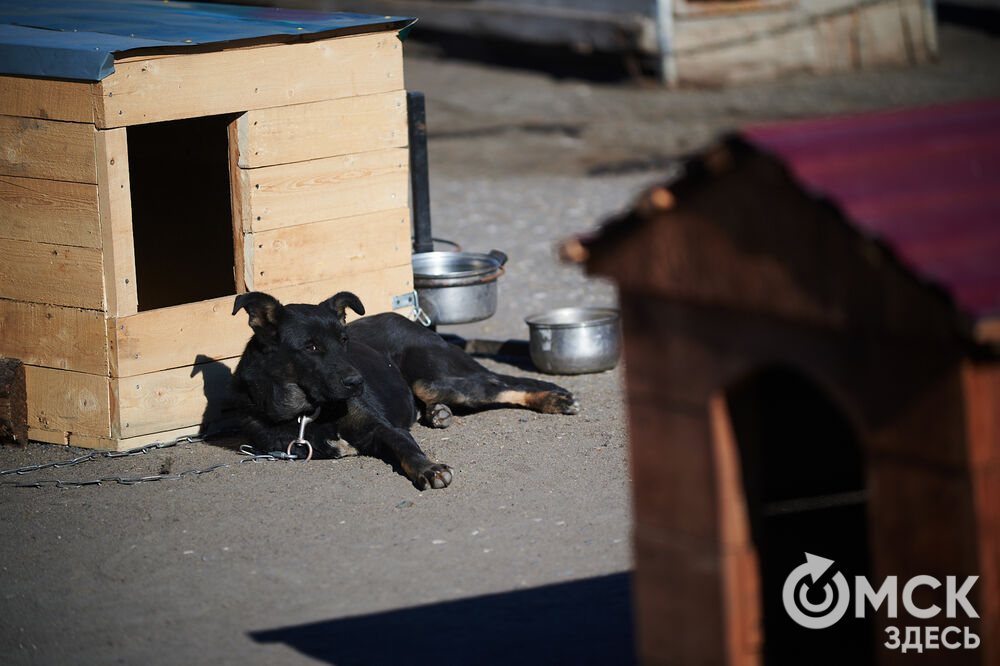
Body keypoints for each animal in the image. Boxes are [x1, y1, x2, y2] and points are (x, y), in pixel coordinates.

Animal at [231, 290, 580, 488]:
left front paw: (429, 469)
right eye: (311, 347)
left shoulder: (382, 428)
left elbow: (406, 447)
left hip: (437, 380)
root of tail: (410, 321)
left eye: (344, 340)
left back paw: (555, 398)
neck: (308, 412)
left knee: (504, 384)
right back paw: (438, 414)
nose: (358, 383)